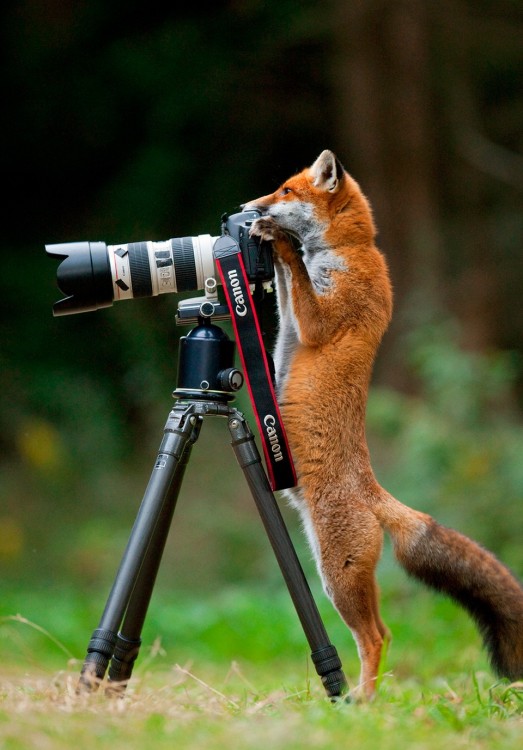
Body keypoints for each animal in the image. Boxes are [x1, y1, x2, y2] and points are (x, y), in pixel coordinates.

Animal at [246, 150, 523, 704]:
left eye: (285, 191)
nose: (246, 208)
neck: (349, 252)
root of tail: (373, 492)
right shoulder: (293, 315)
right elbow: (286, 291)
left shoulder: (323, 318)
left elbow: (297, 277)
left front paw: (279, 241)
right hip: (337, 573)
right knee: (384, 633)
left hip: (336, 575)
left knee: (377, 636)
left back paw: (364, 704)